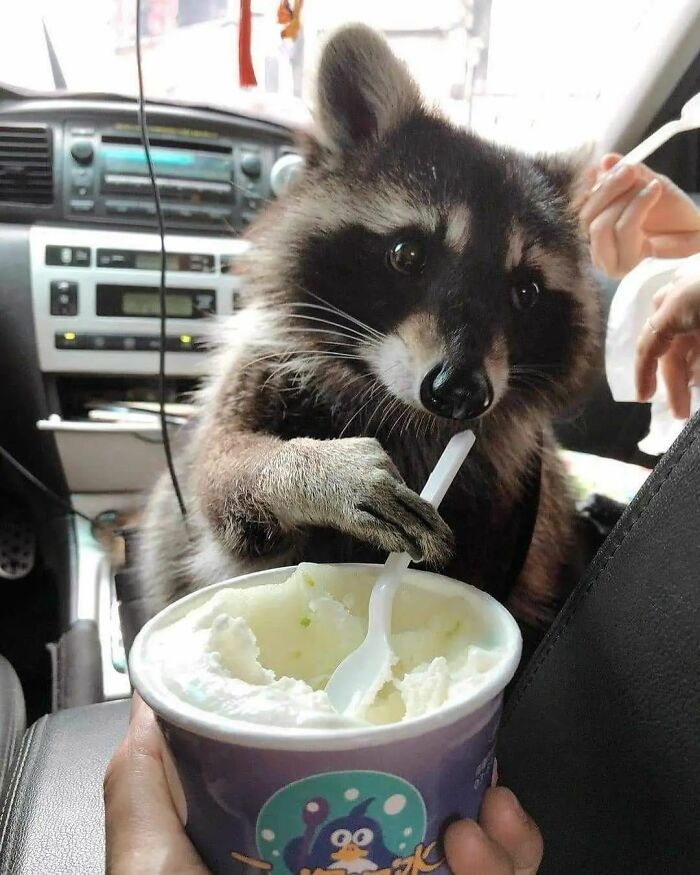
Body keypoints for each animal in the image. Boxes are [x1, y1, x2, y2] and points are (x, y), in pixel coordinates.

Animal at [139, 24, 600, 640]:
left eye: (524, 293)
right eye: (407, 255)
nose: (460, 392)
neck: (402, 408)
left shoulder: (518, 495)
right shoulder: (258, 369)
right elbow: (219, 469)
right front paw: (309, 473)